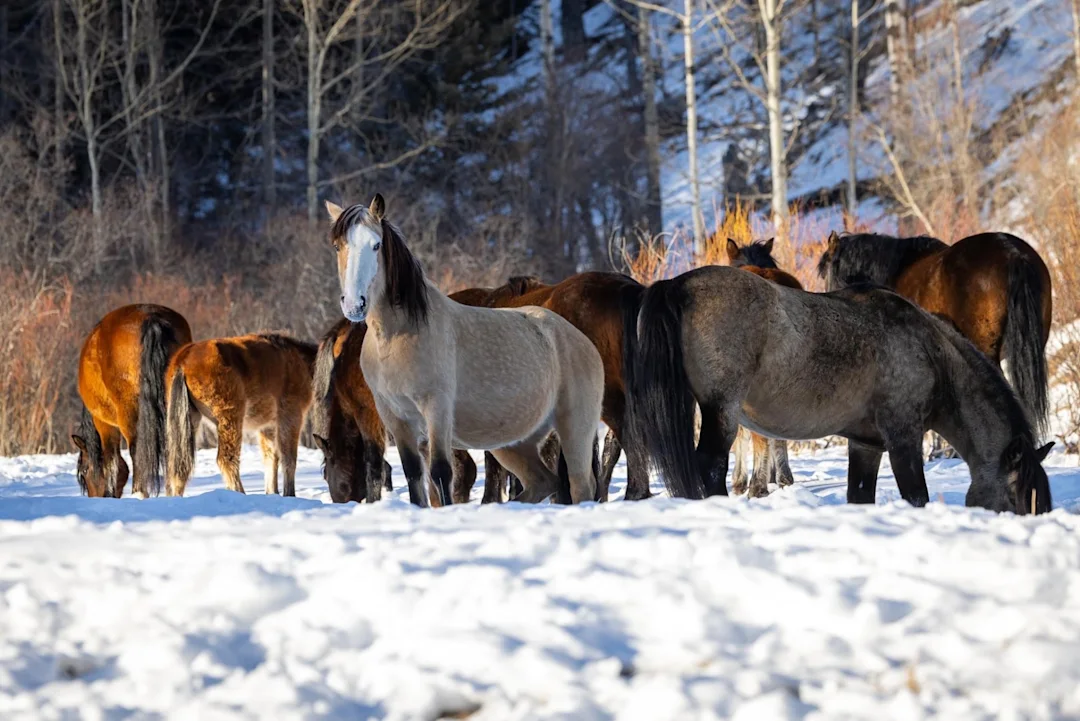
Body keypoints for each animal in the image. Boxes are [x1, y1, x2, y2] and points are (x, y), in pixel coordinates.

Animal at [73, 304, 192, 498]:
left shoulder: (104, 424)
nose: (94, 497)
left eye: (84, 471)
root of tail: (152, 319)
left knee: (137, 451)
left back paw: (139, 493)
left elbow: (111, 460)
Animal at [165, 333, 317, 497]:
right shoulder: (291, 415)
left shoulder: (268, 425)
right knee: (226, 459)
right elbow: (288, 458)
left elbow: (271, 457)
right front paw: (289, 495)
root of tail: (183, 361)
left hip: (190, 419)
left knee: (179, 465)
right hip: (230, 417)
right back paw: (240, 493)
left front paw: (272, 492)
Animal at [326, 194, 604, 507]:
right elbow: (414, 475)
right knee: (543, 481)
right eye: (338, 245)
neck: (396, 338)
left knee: (580, 485)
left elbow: (440, 473)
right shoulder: (395, 418)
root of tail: (580, 340)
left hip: (575, 428)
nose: (354, 304)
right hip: (515, 441)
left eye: (376, 245)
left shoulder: (437, 410)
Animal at [623, 265, 1054, 514]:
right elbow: (917, 495)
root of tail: (679, 285)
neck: (931, 352)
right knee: (710, 465)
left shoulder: (866, 444)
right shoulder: (903, 437)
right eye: (1016, 498)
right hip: (722, 411)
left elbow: (859, 496)